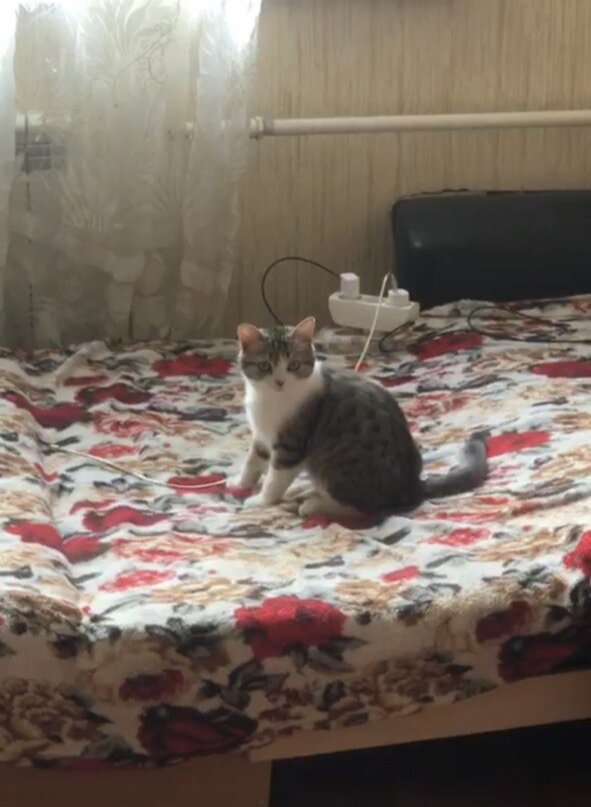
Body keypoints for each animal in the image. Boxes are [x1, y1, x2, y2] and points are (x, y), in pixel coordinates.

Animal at [231, 316, 488, 518]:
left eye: (293, 365)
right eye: (265, 366)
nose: (280, 381)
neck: (268, 399)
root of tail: (411, 486)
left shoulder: (292, 444)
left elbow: (276, 477)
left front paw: (262, 500)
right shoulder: (262, 435)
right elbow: (254, 460)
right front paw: (240, 483)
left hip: (339, 467)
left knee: (360, 507)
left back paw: (312, 504)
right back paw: (302, 491)